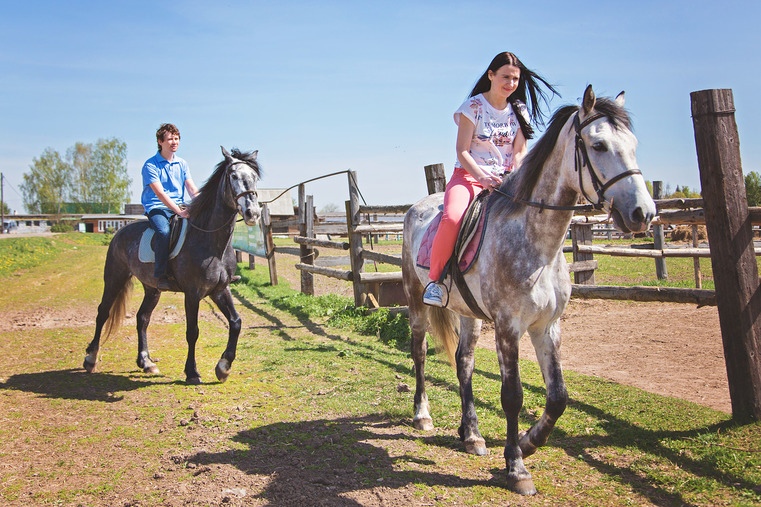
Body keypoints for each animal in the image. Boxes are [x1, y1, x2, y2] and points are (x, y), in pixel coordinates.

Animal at [83, 146, 262, 385]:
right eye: (233, 176)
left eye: (254, 178)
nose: (253, 213)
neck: (209, 240)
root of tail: (120, 231)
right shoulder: (193, 294)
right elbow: (192, 331)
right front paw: (192, 372)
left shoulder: (220, 290)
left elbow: (236, 322)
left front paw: (223, 367)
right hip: (115, 278)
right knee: (103, 312)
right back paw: (90, 359)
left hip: (152, 289)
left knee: (142, 318)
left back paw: (146, 362)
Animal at [402, 86, 656, 496]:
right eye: (598, 144)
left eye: (632, 144)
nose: (643, 214)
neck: (537, 244)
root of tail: (416, 207)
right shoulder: (509, 327)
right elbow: (513, 396)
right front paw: (517, 467)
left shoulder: (547, 327)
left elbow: (558, 397)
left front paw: (527, 442)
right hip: (416, 301)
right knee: (421, 353)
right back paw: (422, 415)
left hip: (469, 313)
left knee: (464, 362)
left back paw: (471, 435)